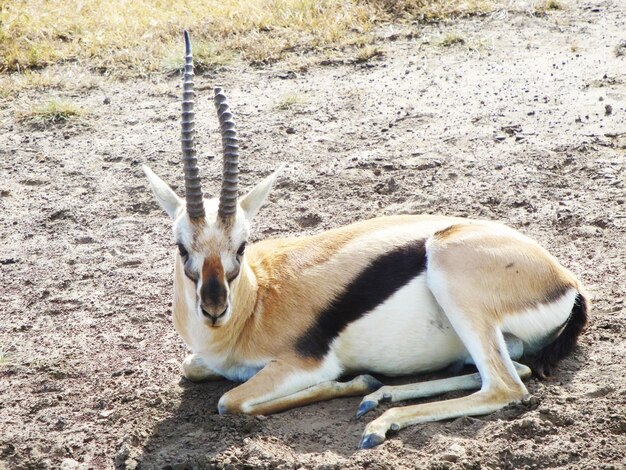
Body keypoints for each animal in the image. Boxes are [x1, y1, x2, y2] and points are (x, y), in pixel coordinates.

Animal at [141, 31, 584, 450]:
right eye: (182, 246)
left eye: (241, 245)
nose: (214, 308)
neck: (255, 302)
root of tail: (568, 281)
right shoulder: (205, 359)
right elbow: (192, 367)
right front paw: (367, 386)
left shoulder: (304, 365)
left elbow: (230, 400)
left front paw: (356, 383)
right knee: (513, 370)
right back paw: (381, 396)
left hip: (452, 276)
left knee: (506, 386)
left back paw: (378, 419)